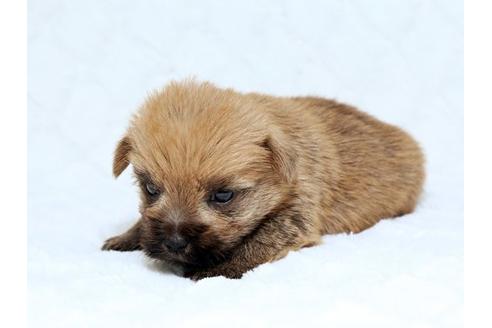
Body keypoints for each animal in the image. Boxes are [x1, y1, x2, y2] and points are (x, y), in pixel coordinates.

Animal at [102, 80, 424, 280]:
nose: (174, 243)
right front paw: (125, 238)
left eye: (223, 196)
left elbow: (256, 243)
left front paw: (212, 272)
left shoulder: (294, 217)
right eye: (151, 189)